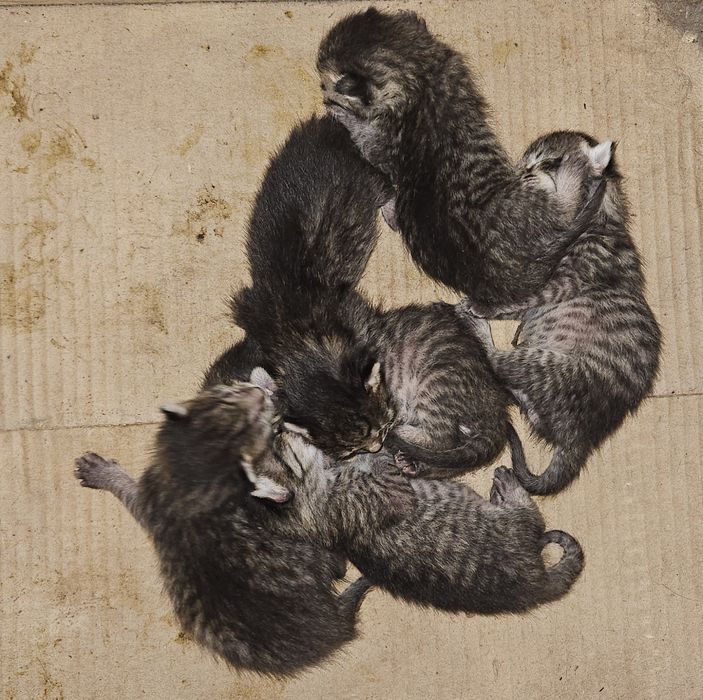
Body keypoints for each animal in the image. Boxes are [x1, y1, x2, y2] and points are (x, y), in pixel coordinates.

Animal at [74, 381, 370, 676]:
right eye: (229, 397)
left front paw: (105, 474)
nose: (258, 393)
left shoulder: (153, 500)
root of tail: (331, 630)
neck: (200, 473)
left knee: (336, 564)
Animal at [275, 431, 585, 615]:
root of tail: (533, 584)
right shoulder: (387, 492)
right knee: (529, 513)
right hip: (512, 526)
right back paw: (506, 485)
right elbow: (380, 462)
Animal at [317, 8, 604, 309]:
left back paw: (575, 164)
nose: (323, 89)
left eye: (324, 82)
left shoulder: (385, 141)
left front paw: (344, 115)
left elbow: (369, 145)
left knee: (567, 205)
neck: (419, 70)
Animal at [458, 132, 662, 495]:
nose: (521, 173)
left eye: (549, 162)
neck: (603, 215)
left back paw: (476, 326)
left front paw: (483, 306)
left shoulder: (561, 283)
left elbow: (521, 298)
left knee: (498, 361)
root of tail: (580, 437)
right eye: (525, 162)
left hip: (551, 366)